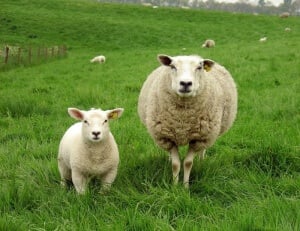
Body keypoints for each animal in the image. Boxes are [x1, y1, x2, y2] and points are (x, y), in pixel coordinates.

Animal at [137, 55, 238, 189]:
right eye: (172, 66)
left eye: (200, 67)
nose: (185, 83)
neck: (183, 120)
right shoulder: (168, 138)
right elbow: (175, 164)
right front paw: (175, 186)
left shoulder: (198, 139)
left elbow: (188, 163)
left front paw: (185, 187)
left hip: (208, 134)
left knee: (202, 150)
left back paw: (201, 160)